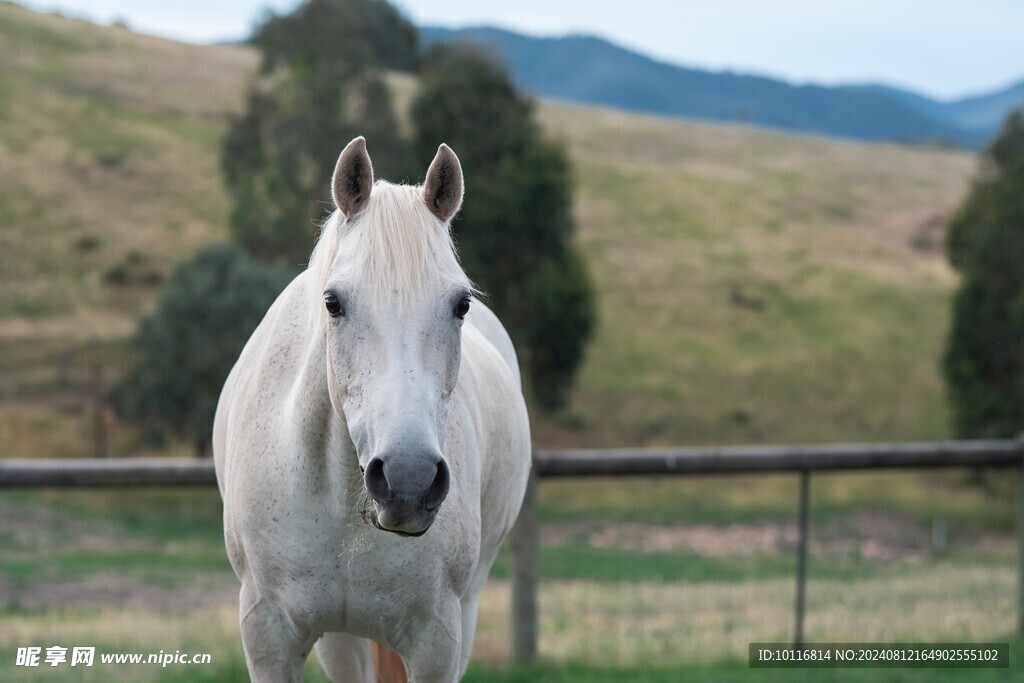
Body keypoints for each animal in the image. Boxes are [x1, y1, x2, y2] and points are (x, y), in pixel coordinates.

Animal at [217, 136, 536, 679]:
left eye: (461, 305)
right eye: (333, 302)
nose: (409, 480)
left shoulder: (436, 642)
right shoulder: (267, 631)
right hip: (341, 641)